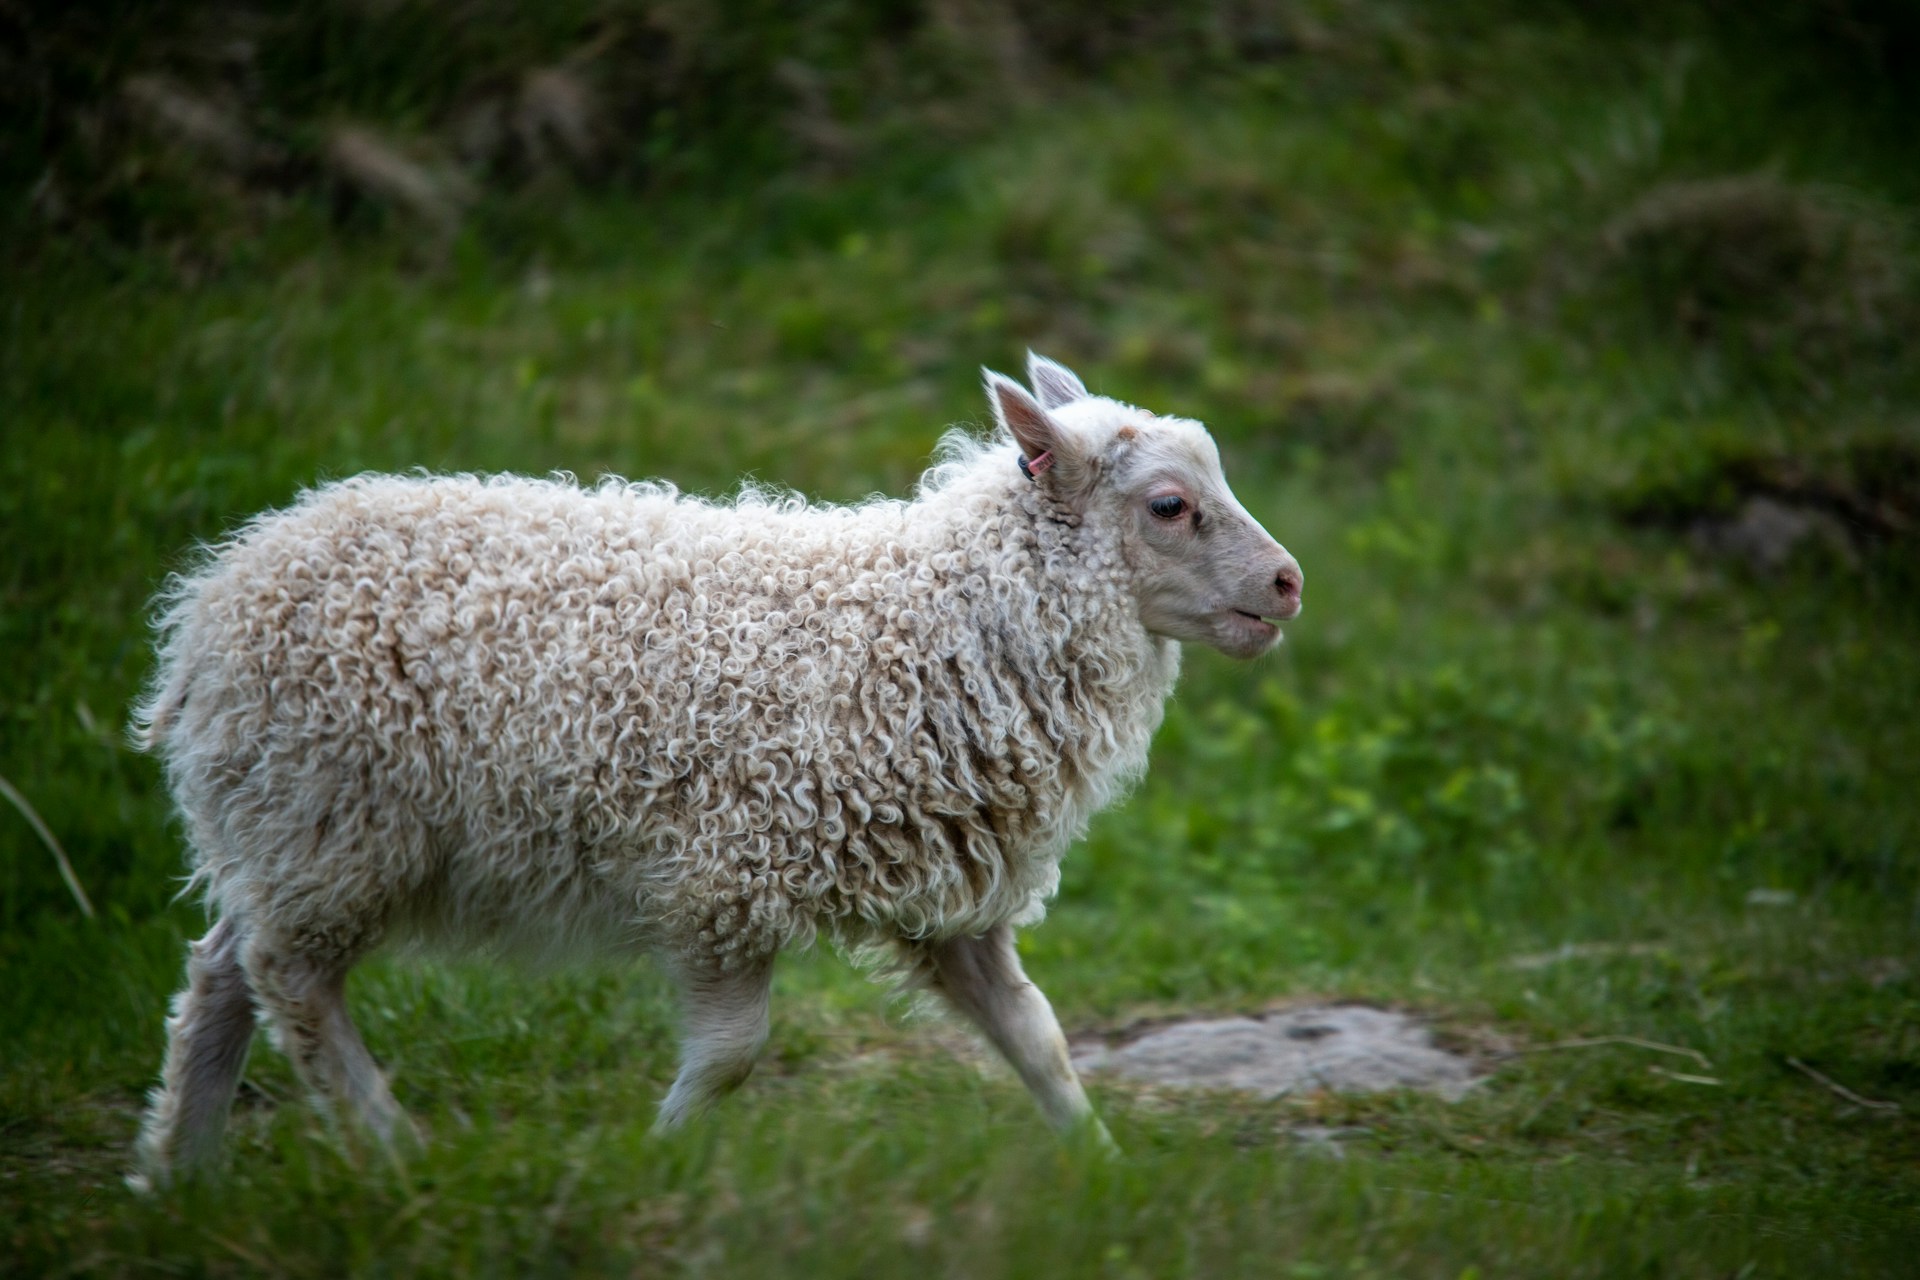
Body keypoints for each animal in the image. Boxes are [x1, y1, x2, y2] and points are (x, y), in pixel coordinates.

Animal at [128, 354, 1304, 1187]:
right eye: (1168, 505)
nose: (1290, 582)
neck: (936, 620)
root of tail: (208, 608)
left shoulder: (944, 892)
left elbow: (1038, 1035)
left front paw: (1103, 1170)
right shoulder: (728, 874)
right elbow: (736, 1051)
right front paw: (657, 1155)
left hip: (289, 826)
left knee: (222, 969)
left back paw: (178, 1174)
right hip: (337, 819)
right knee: (287, 977)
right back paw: (389, 1147)